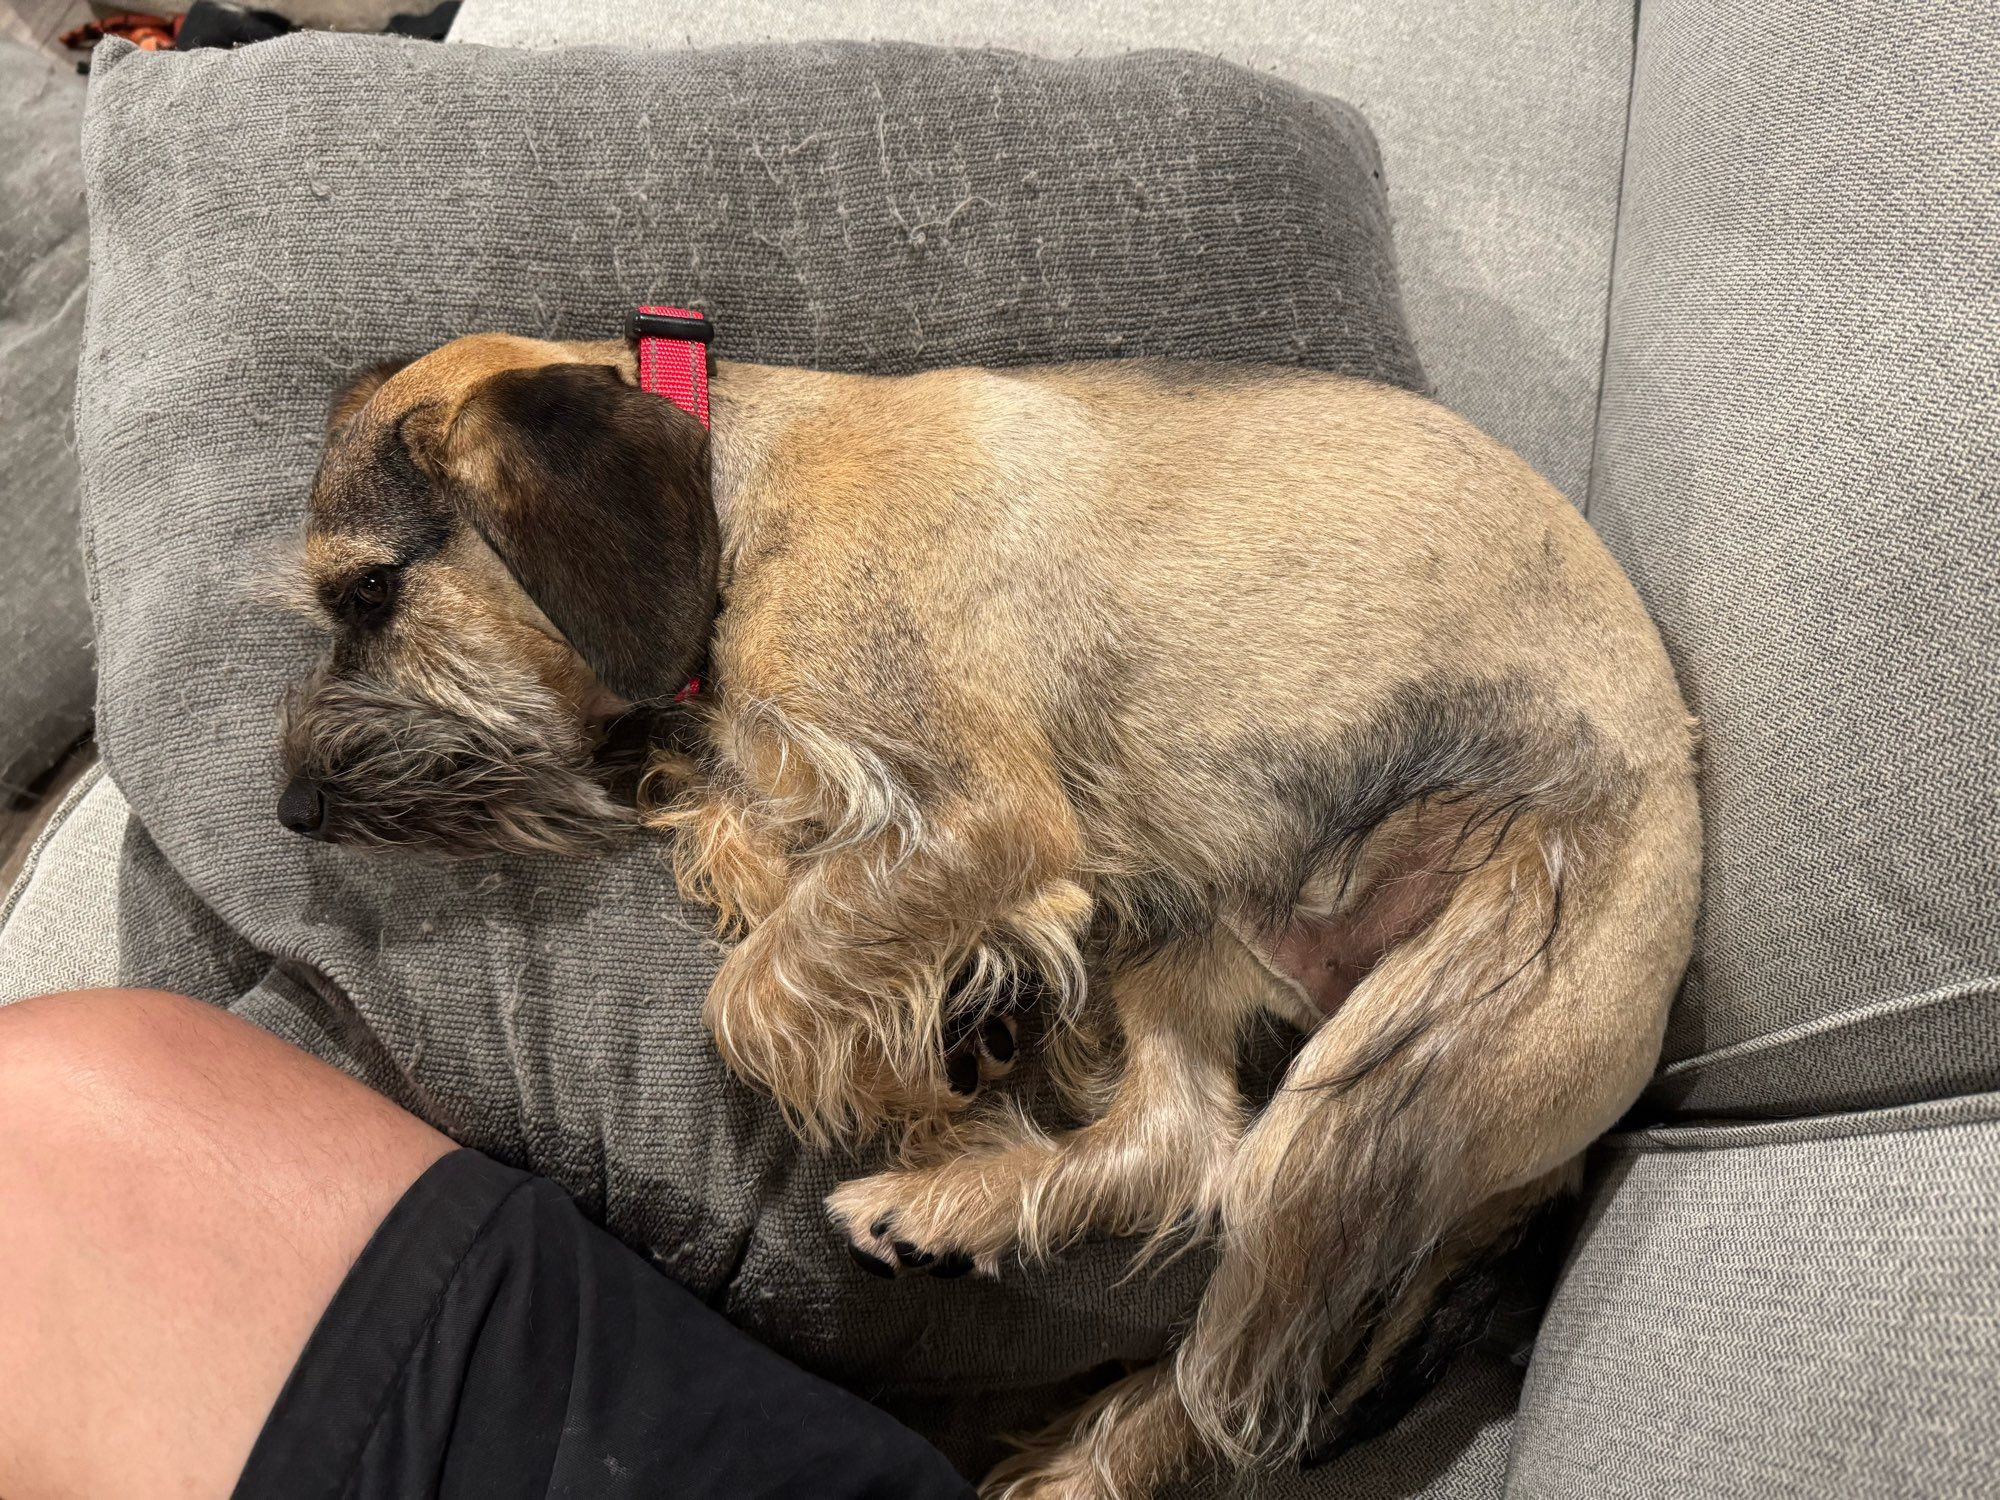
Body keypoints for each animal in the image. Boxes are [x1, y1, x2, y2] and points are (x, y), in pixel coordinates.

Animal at [278, 332, 1704, 1500]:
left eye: (367, 594)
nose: (293, 804)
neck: (740, 490)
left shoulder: (981, 815)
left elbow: (752, 992)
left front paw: (908, 1083)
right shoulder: (829, 791)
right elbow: (748, 855)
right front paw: (956, 1026)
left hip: (1381, 1086)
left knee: (1238, 1372)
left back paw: (1073, 1460)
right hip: (1194, 921)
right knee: (1177, 1146)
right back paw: (946, 1207)